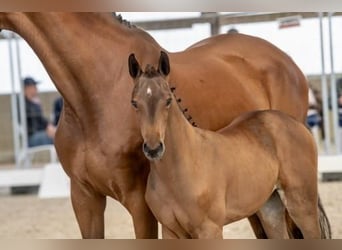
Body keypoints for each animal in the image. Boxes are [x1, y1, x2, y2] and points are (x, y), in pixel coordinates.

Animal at [127, 52, 328, 238]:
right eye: (134, 103)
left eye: (168, 100)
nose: (154, 148)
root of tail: (298, 125)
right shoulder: (170, 231)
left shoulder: (210, 229)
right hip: (270, 207)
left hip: (302, 206)